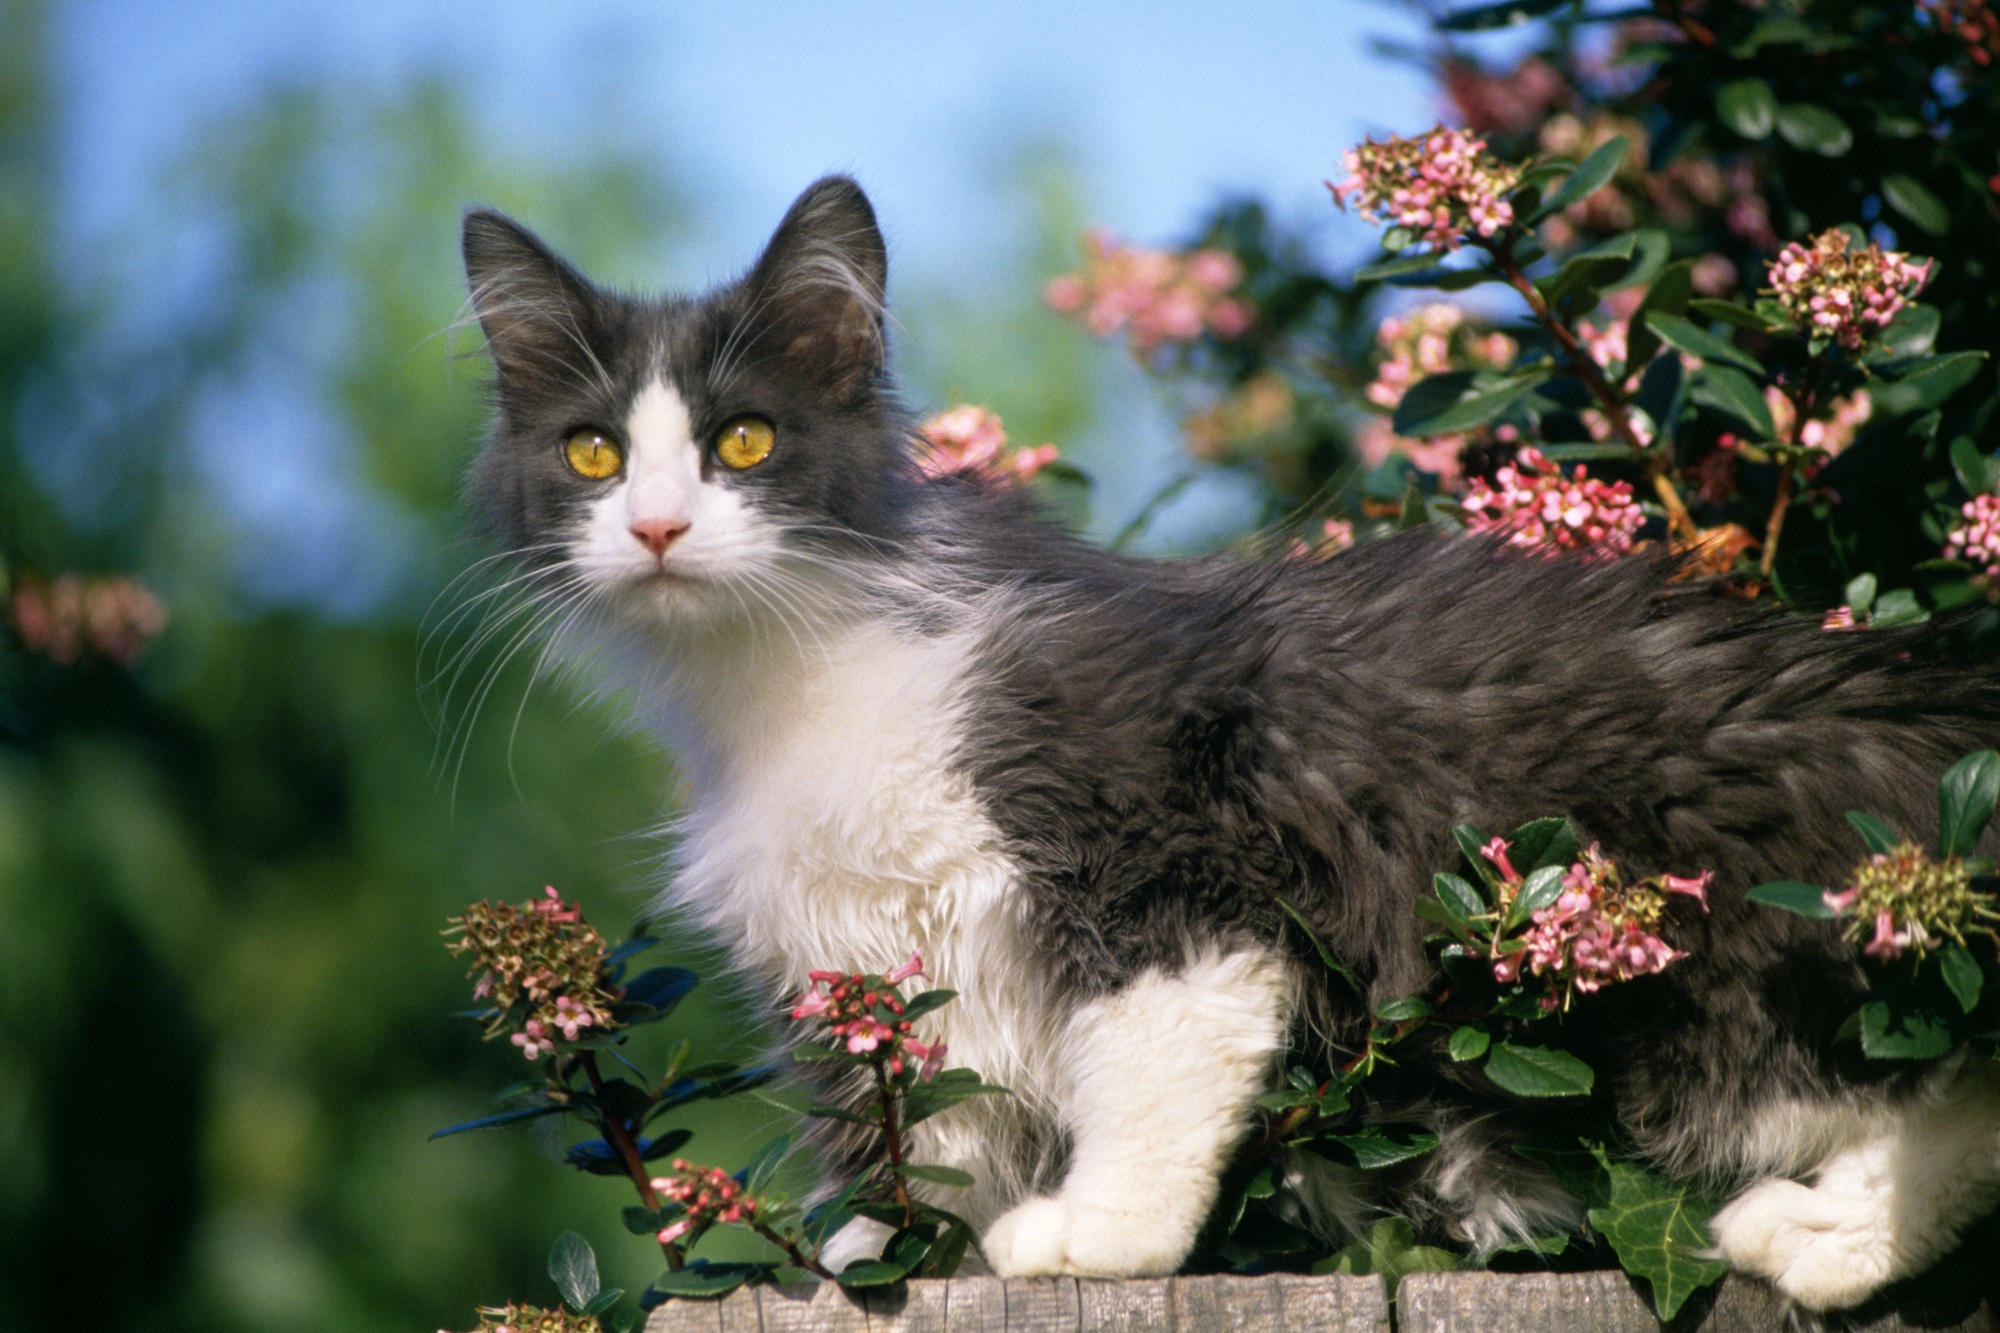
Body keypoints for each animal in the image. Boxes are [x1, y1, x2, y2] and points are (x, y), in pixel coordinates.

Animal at [454, 174, 2000, 1304]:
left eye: (745, 443)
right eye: (594, 453)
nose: (658, 527)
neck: (777, 677)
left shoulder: (1163, 840)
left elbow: (1147, 1058)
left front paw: (1098, 1232)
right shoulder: (879, 968)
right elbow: (927, 1134)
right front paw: (873, 1257)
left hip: (1735, 939)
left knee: (1929, 1089)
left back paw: (1824, 1234)